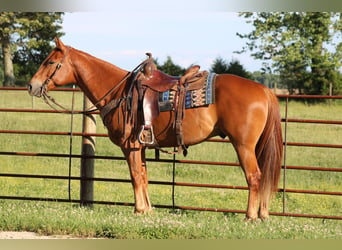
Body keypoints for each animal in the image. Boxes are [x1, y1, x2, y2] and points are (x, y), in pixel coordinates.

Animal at [28, 38, 282, 220]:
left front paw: (139, 210)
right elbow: (144, 175)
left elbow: (134, 175)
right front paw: (148, 210)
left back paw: (250, 217)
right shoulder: (140, 146)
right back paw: (263, 215)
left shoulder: (129, 146)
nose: (32, 86)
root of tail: (264, 90)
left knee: (254, 176)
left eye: (49, 62)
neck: (119, 92)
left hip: (243, 145)